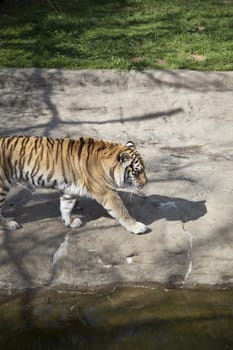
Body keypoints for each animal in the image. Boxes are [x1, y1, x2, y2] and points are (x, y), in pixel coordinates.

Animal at [0, 135, 148, 234]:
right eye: (137, 171)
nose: (146, 182)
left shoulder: (70, 189)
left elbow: (65, 206)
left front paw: (69, 222)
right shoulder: (107, 192)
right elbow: (122, 211)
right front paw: (137, 226)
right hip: (2, 185)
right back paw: (10, 224)